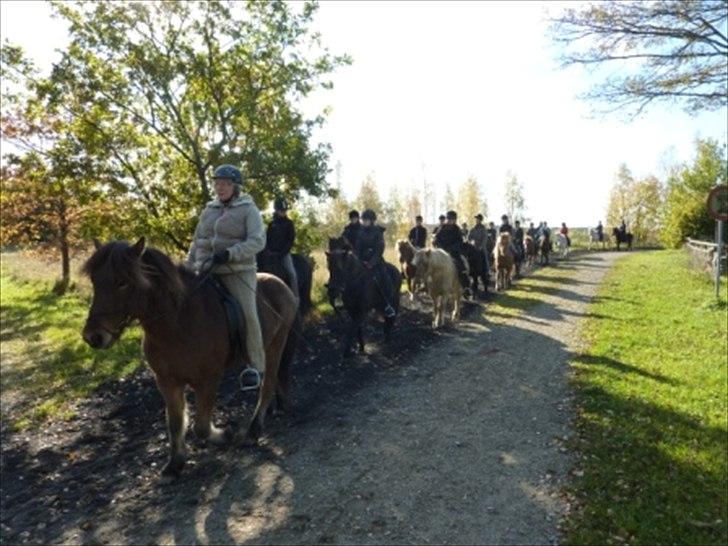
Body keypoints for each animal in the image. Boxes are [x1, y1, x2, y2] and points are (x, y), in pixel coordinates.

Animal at [84, 236, 300, 478]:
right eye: (94, 281)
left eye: (122, 282)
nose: (93, 336)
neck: (177, 322)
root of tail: (280, 283)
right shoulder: (167, 381)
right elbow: (175, 422)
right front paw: (175, 463)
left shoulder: (208, 379)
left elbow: (201, 427)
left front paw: (225, 434)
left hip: (275, 346)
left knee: (268, 384)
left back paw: (253, 431)